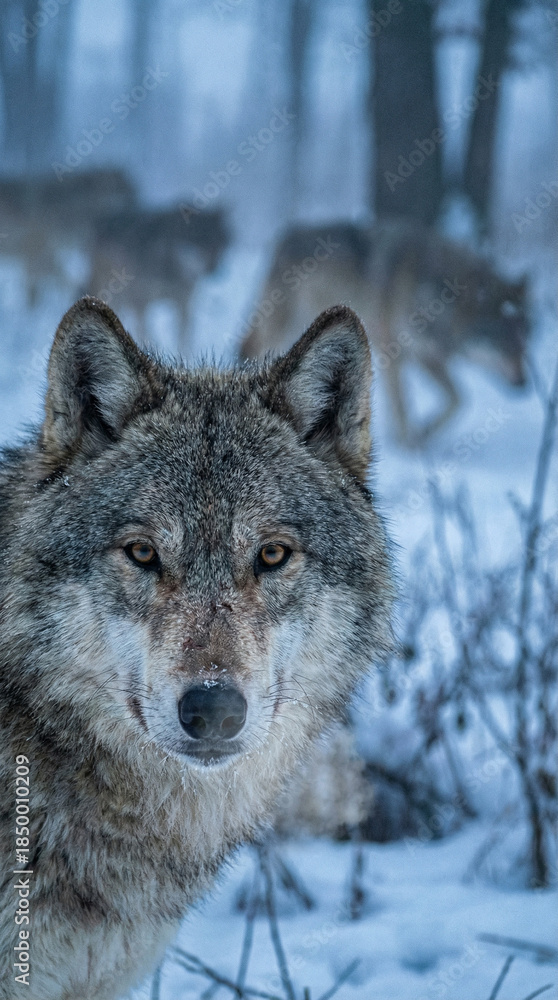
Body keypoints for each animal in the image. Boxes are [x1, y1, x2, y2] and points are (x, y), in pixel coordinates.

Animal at [239, 218, 531, 445]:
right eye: (500, 342)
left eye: (525, 338)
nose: (524, 384)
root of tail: (286, 235)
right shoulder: (396, 350)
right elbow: (403, 405)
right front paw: (408, 445)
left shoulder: (426, 355)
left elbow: (458, 398)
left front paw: (424, 433)